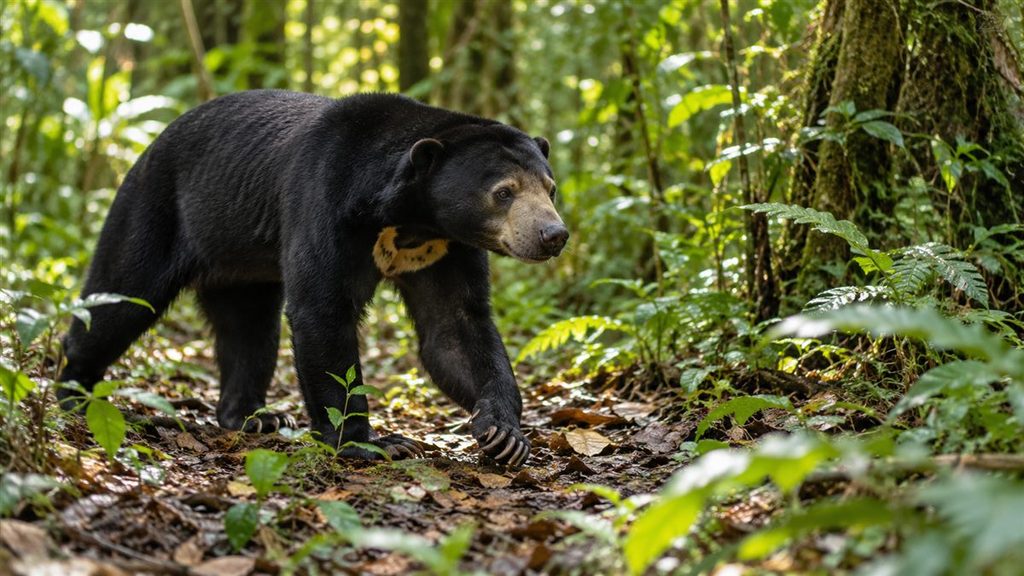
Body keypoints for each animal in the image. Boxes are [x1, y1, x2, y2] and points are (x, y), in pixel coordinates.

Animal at [57, 90, 568, 467]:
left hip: (241, 264)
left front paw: (503, 433)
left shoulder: (445, 248)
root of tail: (149, 145)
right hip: (156, 208)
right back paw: (73, 392)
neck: (409, 219)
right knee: (120, 297)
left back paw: (253, 417)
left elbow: (455, 328)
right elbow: (322, 313)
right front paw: (374, 443)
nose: (553, 235)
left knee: (249, 332)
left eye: (550, 188)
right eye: (503, 192)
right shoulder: (327, 203)